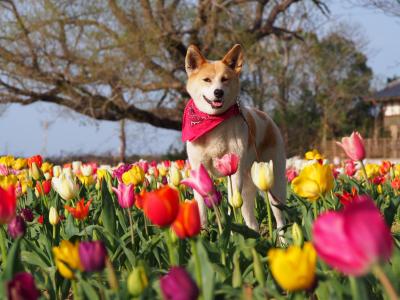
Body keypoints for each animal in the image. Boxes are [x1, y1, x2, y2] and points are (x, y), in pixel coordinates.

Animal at [183, 44, 286, 232]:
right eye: (207, 80)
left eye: (225, 79)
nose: (218, 92)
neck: (213, 123)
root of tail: (265, 116)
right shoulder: (199, 170)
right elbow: (201, 207)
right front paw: (203, 232)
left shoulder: (234, 172)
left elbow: (232, 205)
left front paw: (232, 232)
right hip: (248, 186)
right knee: (252, 221)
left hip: (274, 185)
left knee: (279, 218)